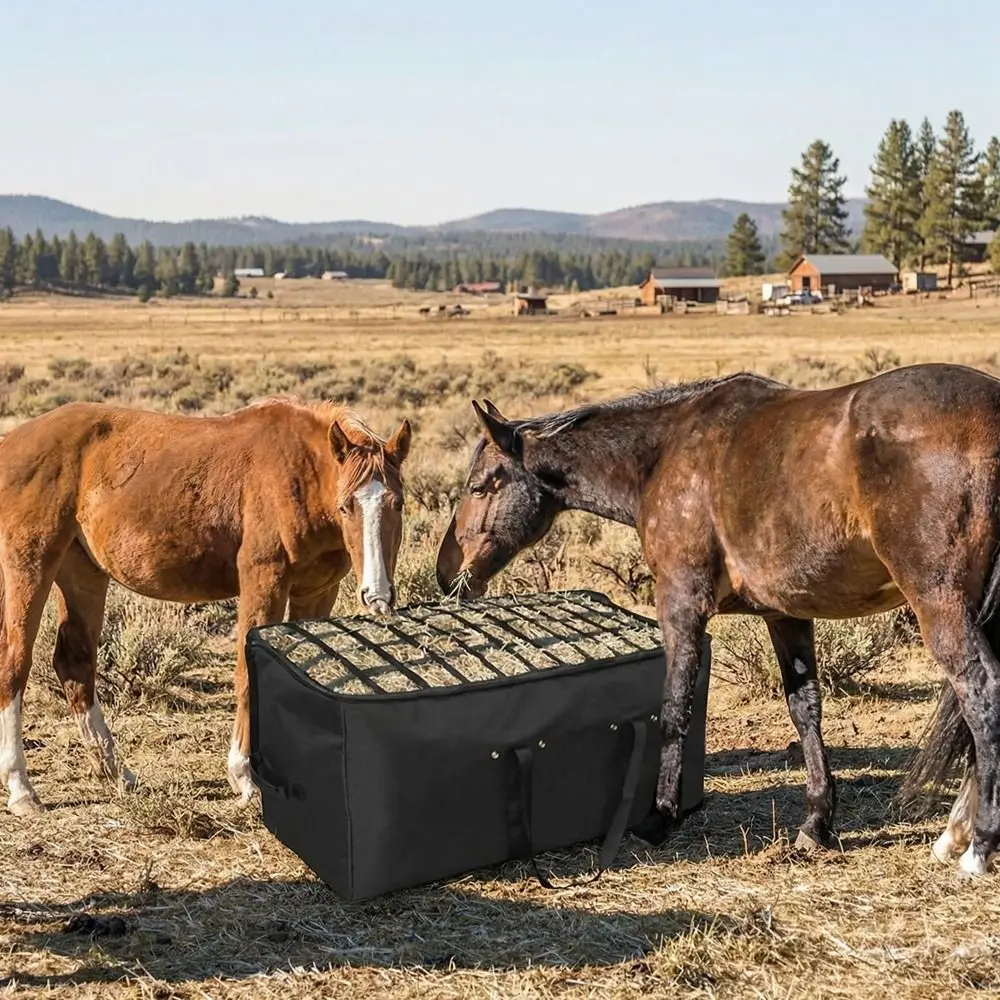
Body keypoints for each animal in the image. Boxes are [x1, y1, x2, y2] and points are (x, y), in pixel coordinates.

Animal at [0, 397, 411, 816]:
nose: (377, 594)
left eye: (398, 504)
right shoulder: (264, 581)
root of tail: (11, 441)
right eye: (346, 507)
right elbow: (247, 675)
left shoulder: (317, 592)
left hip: (83, 574)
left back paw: (117, 774)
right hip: (29, 565)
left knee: (75, 664)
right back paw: (21, 789)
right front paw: (244, 777)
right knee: (14, 664)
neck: (300, 472)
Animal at [435, 364, 1000, 876]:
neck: (663, 454)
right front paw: (816, 823)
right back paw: (955, 833)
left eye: (483, 486)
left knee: (980, 690)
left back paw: (977, 847)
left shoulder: (681, 606)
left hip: (940, 604)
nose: (446, 574)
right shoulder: (785, 616)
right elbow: (805, 711)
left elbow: (674, 710)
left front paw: (661, 817)